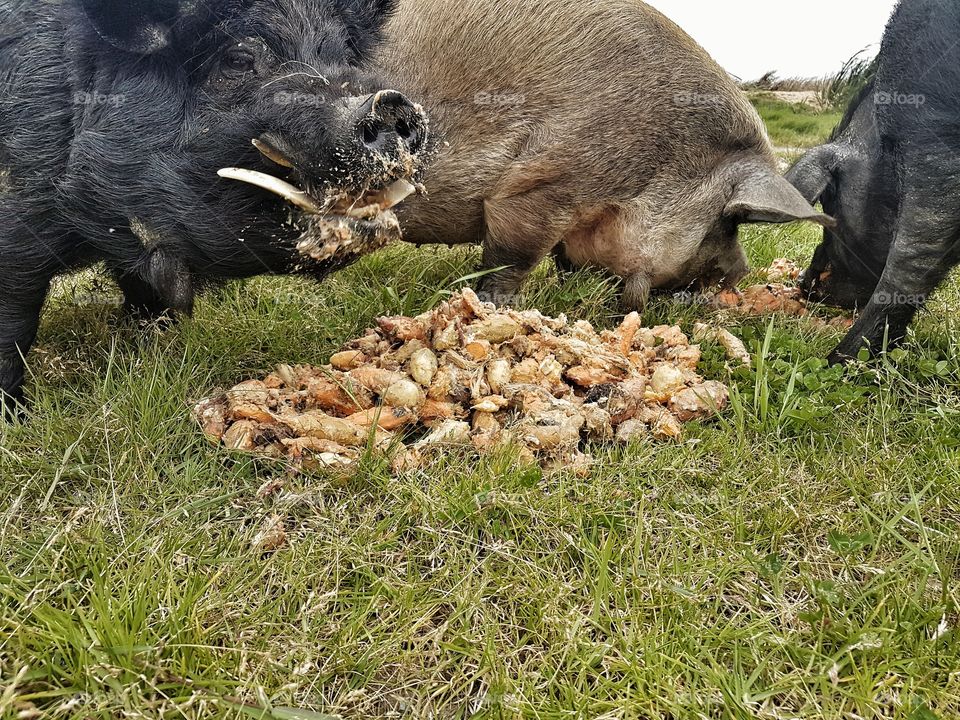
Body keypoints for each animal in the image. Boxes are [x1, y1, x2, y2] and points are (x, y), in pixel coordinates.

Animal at [0, 0, 429, 412]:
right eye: (237, 59)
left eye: (346, 55)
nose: (390, 104)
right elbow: (13, 327)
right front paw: (18, 417)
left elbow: (147, 299)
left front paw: (153, 352)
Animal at [374, 0, 831, 308]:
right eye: (729, 221)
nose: (741, 272)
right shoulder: (541, 186)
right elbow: (513, 257)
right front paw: (501, 307)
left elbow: (563, 262)